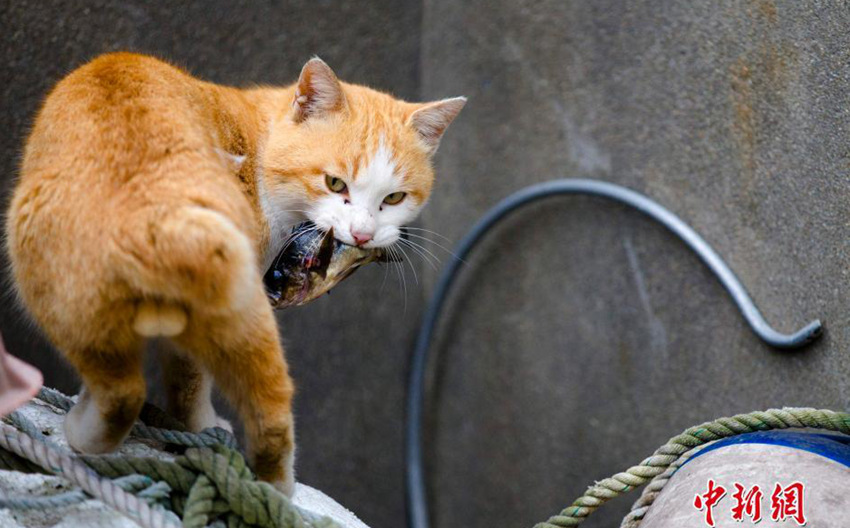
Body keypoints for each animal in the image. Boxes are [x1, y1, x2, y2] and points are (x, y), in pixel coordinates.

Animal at [4, 51, 464, 492]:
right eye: (335, 184)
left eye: (394, 198)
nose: (363, 235)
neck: (260, 147)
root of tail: (152, 195)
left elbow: (188, 379)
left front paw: (196, 427)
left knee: (129, 390)